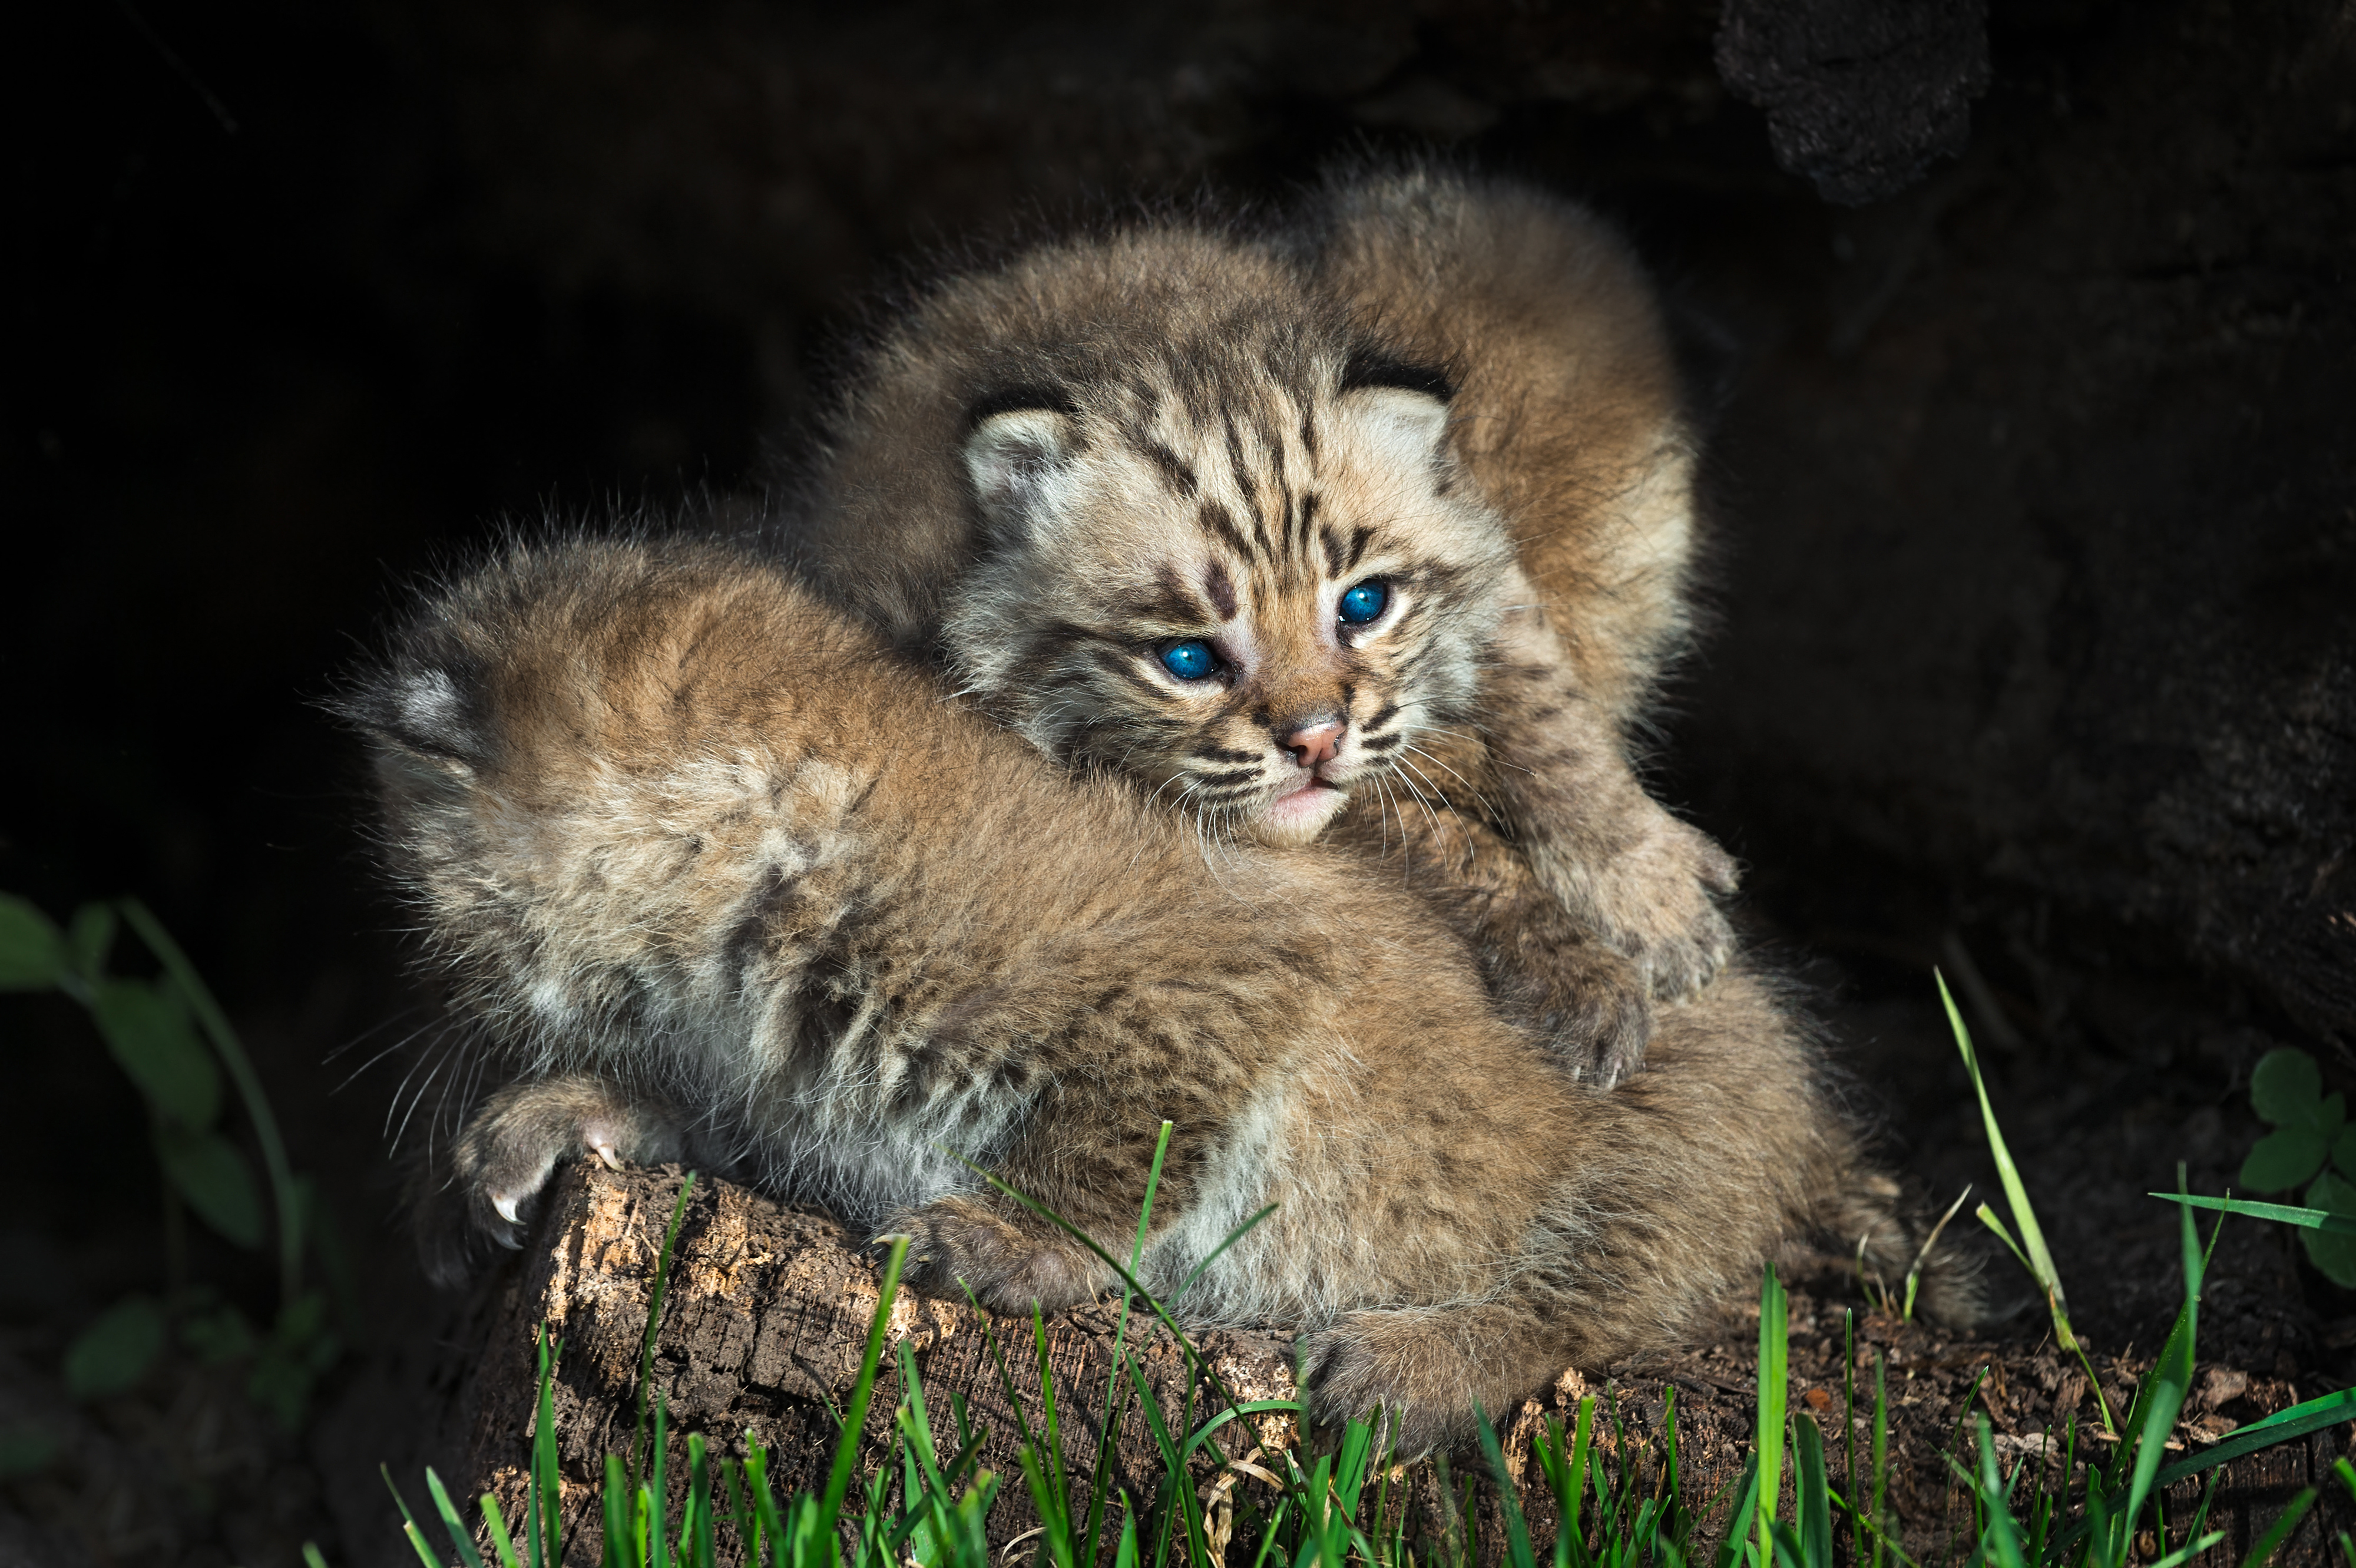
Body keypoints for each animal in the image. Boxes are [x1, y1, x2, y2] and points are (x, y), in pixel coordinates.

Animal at [349, 532, 1970, 1450]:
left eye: (425, 915)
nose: (417, 1009)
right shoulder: (781, 1091)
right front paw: (559, 1115)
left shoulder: (1229, 978)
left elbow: (1125, 1144)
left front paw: (1010, 1242)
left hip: (1661, 1151)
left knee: (1611, 1297)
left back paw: (1416, 1358)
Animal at [792, 164, 1734, 1083]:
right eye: (1187, 658)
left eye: (1363, 606)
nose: (1314, 741)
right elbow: (1424, 830)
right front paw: (1575, 969)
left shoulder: (1481, 546)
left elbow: (1548, 714)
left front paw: (1646, 891)